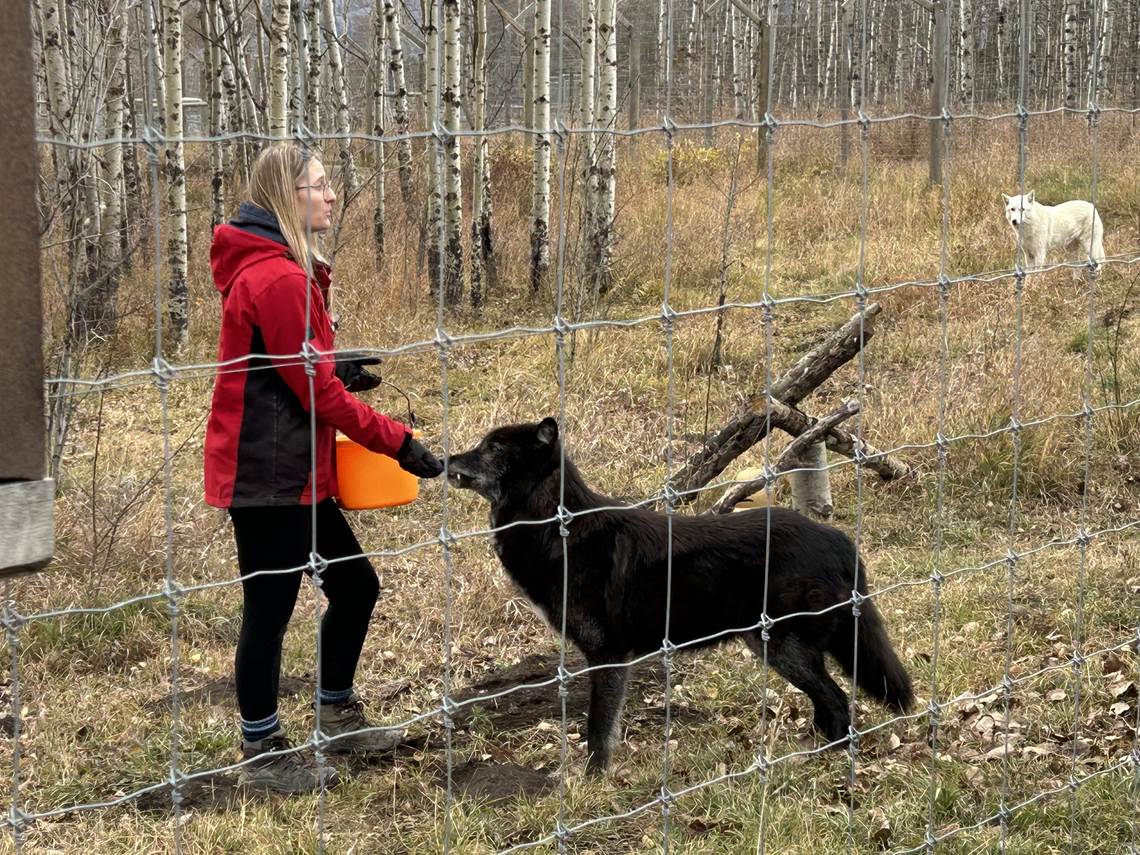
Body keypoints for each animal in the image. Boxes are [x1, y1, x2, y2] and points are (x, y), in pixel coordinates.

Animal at [446, 418, 914, 773]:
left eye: (492, 448)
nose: (445, 459)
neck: (558, 528)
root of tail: (840, 540)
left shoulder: (608, 656)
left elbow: (598, 729)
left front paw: (592, 780)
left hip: (784, 650)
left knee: (836, 699)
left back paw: (825, 758)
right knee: (827, 699)